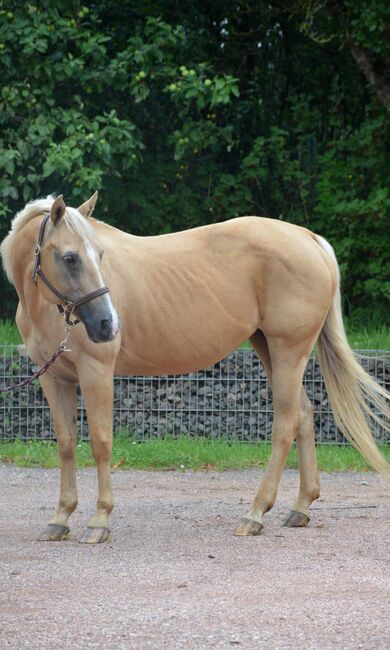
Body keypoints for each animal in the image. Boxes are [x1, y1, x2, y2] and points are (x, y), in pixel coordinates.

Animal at [0, 194, 388, 540]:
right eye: (70, 257)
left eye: (99, 254)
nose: (108, 325)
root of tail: (309, 238)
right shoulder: (54, 378)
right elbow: (66, 444)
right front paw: (60, 518)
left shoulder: (96, 373)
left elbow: (100, 442)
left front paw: (99, 521)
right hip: (267, 347)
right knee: (304, 414)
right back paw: (300, 508)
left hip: (288, 350)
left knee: (285, 423)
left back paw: (255, 513)